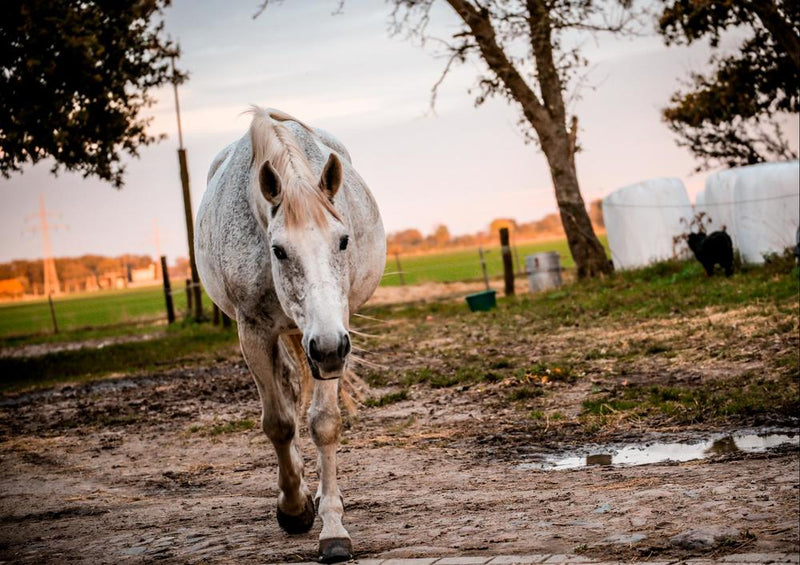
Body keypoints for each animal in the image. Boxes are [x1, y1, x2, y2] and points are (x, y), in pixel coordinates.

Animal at [198, 106, 390, 560]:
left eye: (343, 240)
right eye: (279, 250)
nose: (328, 347)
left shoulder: (335, 334)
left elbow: (323, 422)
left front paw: (333, 527)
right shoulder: (253, 332)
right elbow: (279, 423)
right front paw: (293, 506)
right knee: (285, 394)